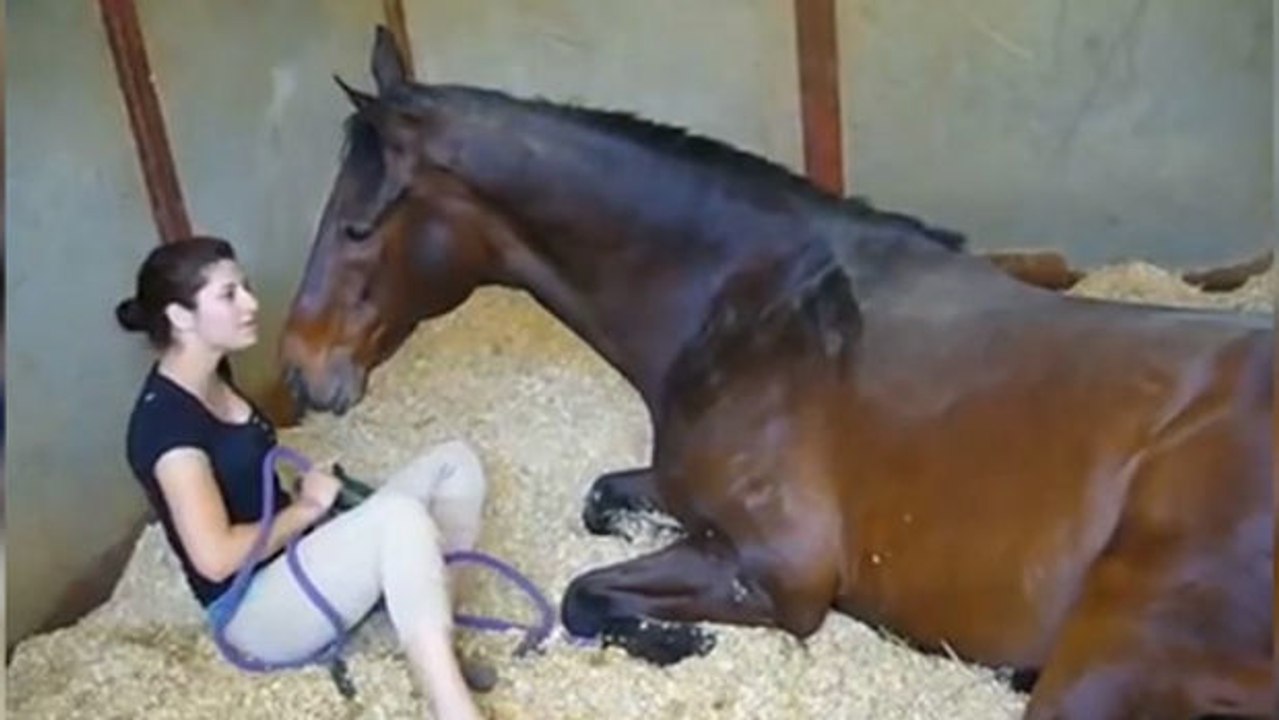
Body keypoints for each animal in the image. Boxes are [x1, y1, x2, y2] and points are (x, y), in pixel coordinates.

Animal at [279, 27, 1275, 719]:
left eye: (357, 226)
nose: (298, 370)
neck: (759, 304)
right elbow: (601, 504)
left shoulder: (777, 571)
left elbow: (583, 593)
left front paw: (675, 641)